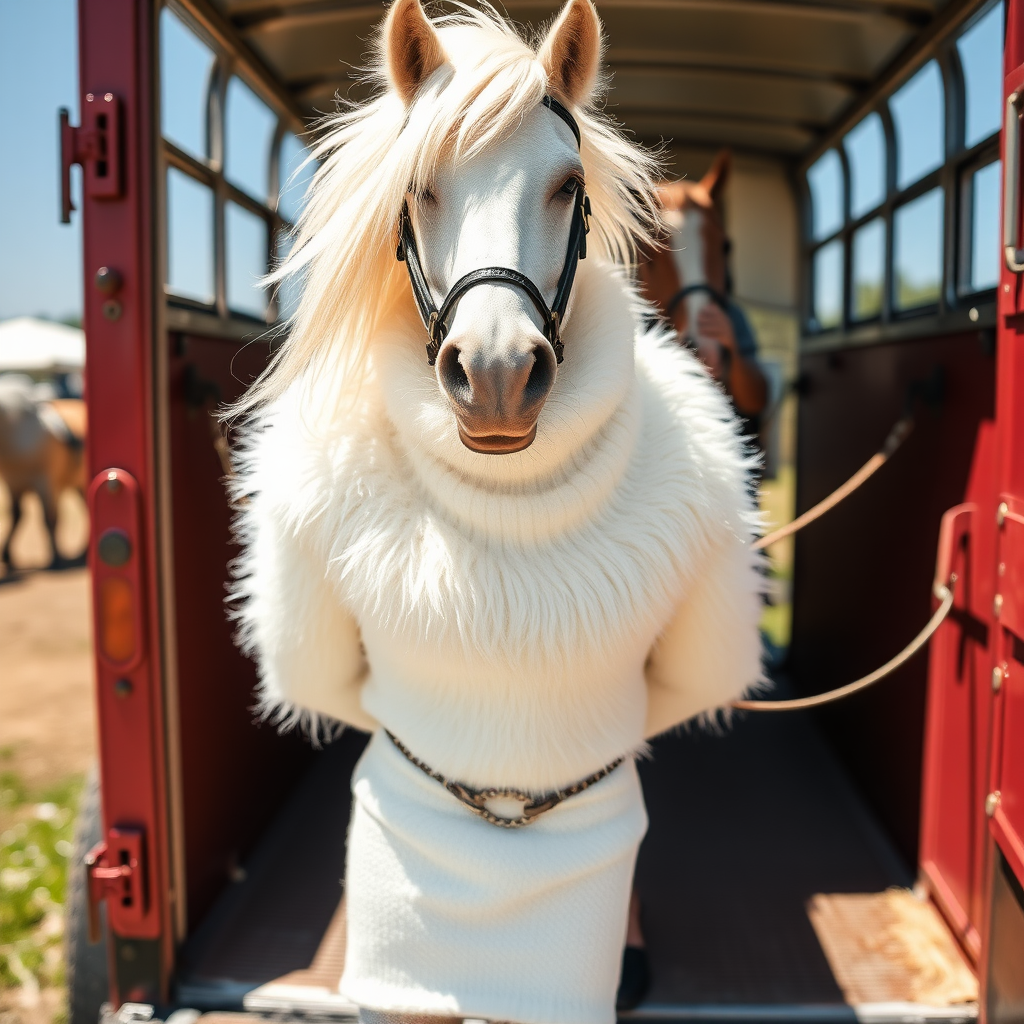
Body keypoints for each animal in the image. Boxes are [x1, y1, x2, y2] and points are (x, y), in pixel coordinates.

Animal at [0, 376, 88, 573]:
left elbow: (48, 518)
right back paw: (84, 551)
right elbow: (16, 515)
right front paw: (7, 555)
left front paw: (55, 558)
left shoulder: (45, 482)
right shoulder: (12, 482)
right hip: (77, 486)